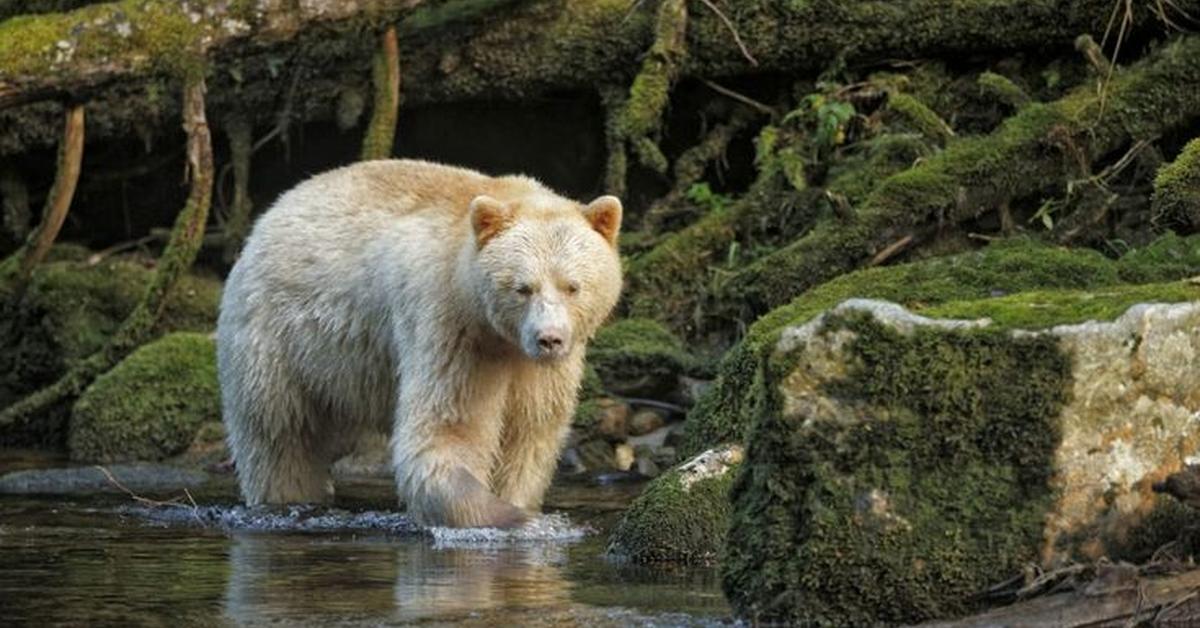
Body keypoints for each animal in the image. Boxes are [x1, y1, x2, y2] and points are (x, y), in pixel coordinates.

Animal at [217, 158, 624, 525]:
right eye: (522, 288)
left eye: (572, 286)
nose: (548, 339)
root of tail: (267, 217)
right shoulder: (452, 328)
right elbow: (448, 428)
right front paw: (506, 516)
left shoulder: (538, 371)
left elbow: (529, 434)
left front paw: (520, 504)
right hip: (276, 338)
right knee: (278, 437)